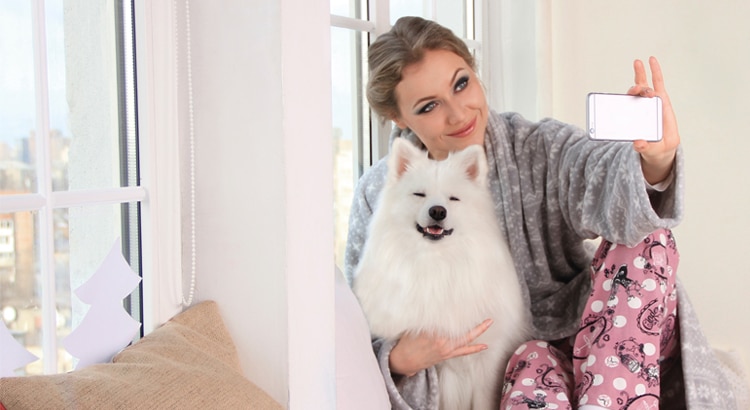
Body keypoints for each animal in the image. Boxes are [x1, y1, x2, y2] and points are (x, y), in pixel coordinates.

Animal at [356, 139, 532, 410]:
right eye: (419, 194)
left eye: (453, 199)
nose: (438, 211)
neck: (437, 260)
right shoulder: (436, 367)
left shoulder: (489, 359)